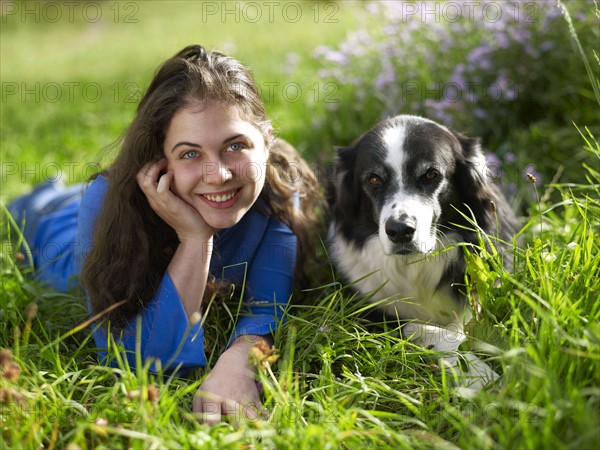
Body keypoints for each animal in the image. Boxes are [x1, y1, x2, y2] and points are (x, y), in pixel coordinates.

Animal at [326, 114, 516, 388]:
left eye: (431, 175)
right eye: (374, 179)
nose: (399, 230)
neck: (415, 266)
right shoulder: (368, 313)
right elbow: (424, 329)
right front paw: (481, 374)